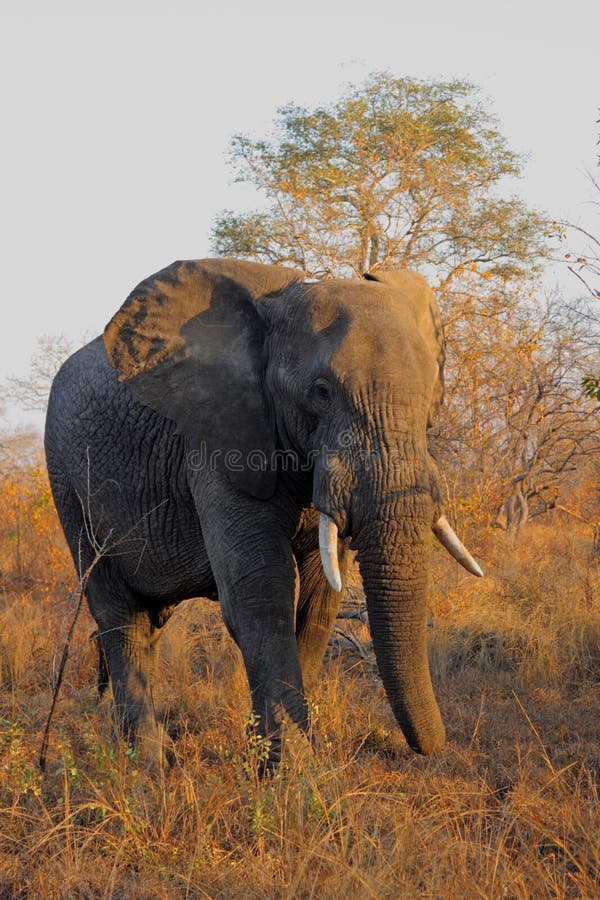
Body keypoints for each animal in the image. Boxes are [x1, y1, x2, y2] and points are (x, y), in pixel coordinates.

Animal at [43, 256, 482, 768]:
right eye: (321, 392)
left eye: (431, 391)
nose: (433, 748)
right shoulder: (218, 438)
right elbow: (262, 591)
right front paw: (293, 773)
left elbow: (319, 597)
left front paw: (298, 758)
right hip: (66, 478)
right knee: (119, 615)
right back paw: (148, 766)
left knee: (146, 625)